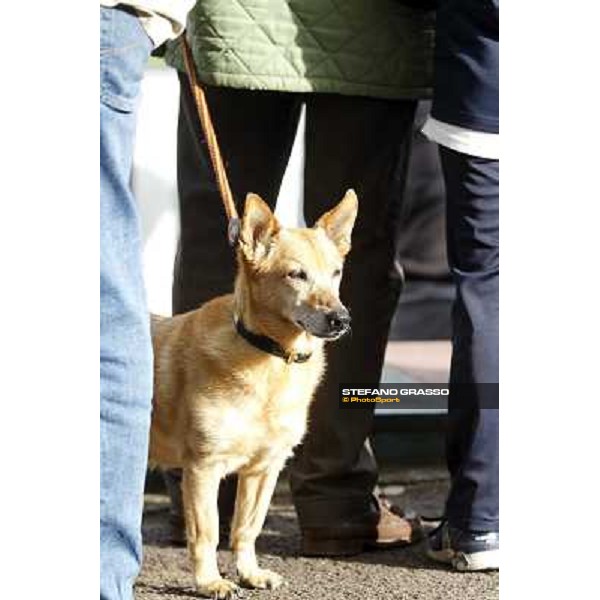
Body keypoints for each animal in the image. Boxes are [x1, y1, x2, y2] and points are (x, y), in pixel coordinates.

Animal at [148, 190, 358, 596]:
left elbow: (248, 527)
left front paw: (249, 573)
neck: (272, 358)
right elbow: (207, 533)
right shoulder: (203, 467)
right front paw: (210, 582)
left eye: (336, 273)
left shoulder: (264, 468)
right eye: (296, 274)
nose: (341, 319)